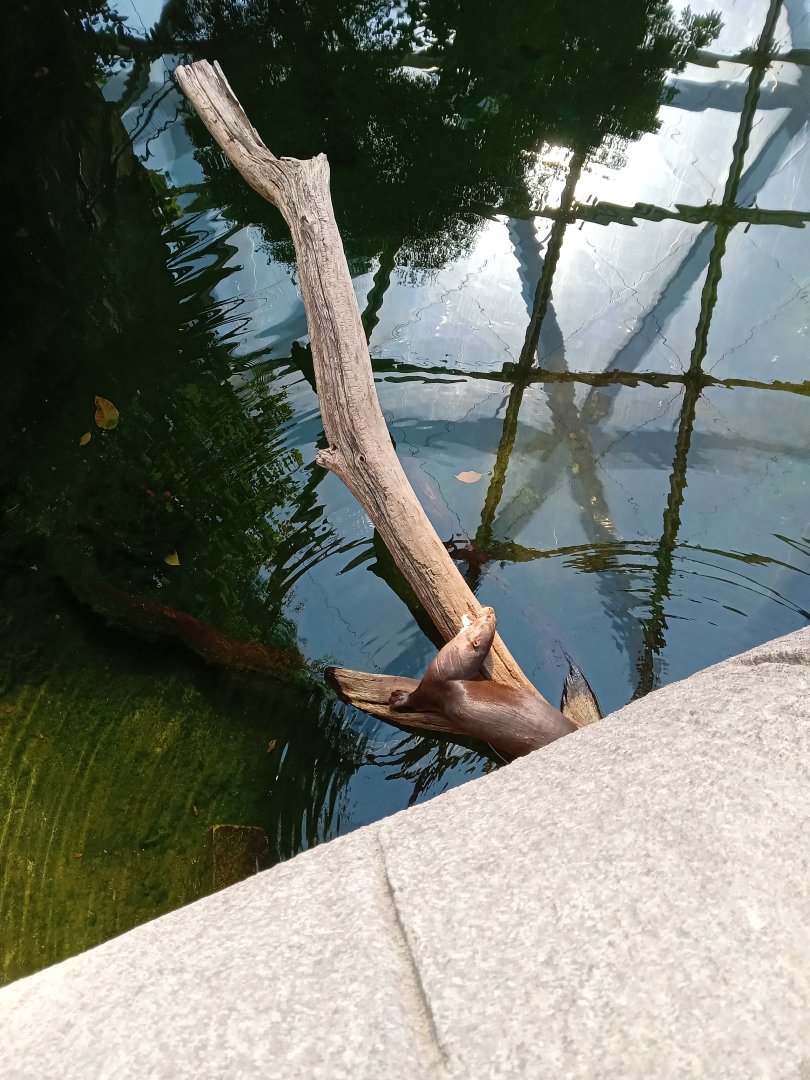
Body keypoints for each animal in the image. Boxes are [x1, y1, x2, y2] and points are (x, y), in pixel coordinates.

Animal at [389, 607, 577, 759]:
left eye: (487, 619)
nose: (490, 609)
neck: (450, 670)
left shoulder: (431, 687)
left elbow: (415, 698)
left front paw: (398, 698)